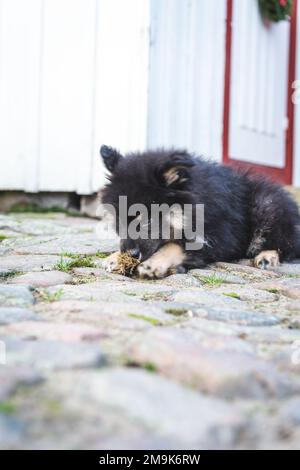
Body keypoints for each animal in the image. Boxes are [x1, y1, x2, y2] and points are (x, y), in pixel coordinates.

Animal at [100, 146, 300, 280]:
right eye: (118, 219)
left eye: (147, 217)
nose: (130, 254)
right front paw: (115, 257)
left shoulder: (219, 237)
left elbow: (175, 246)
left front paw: (154, 263)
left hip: (266, 204)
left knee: (286, 246)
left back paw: (267, 257)